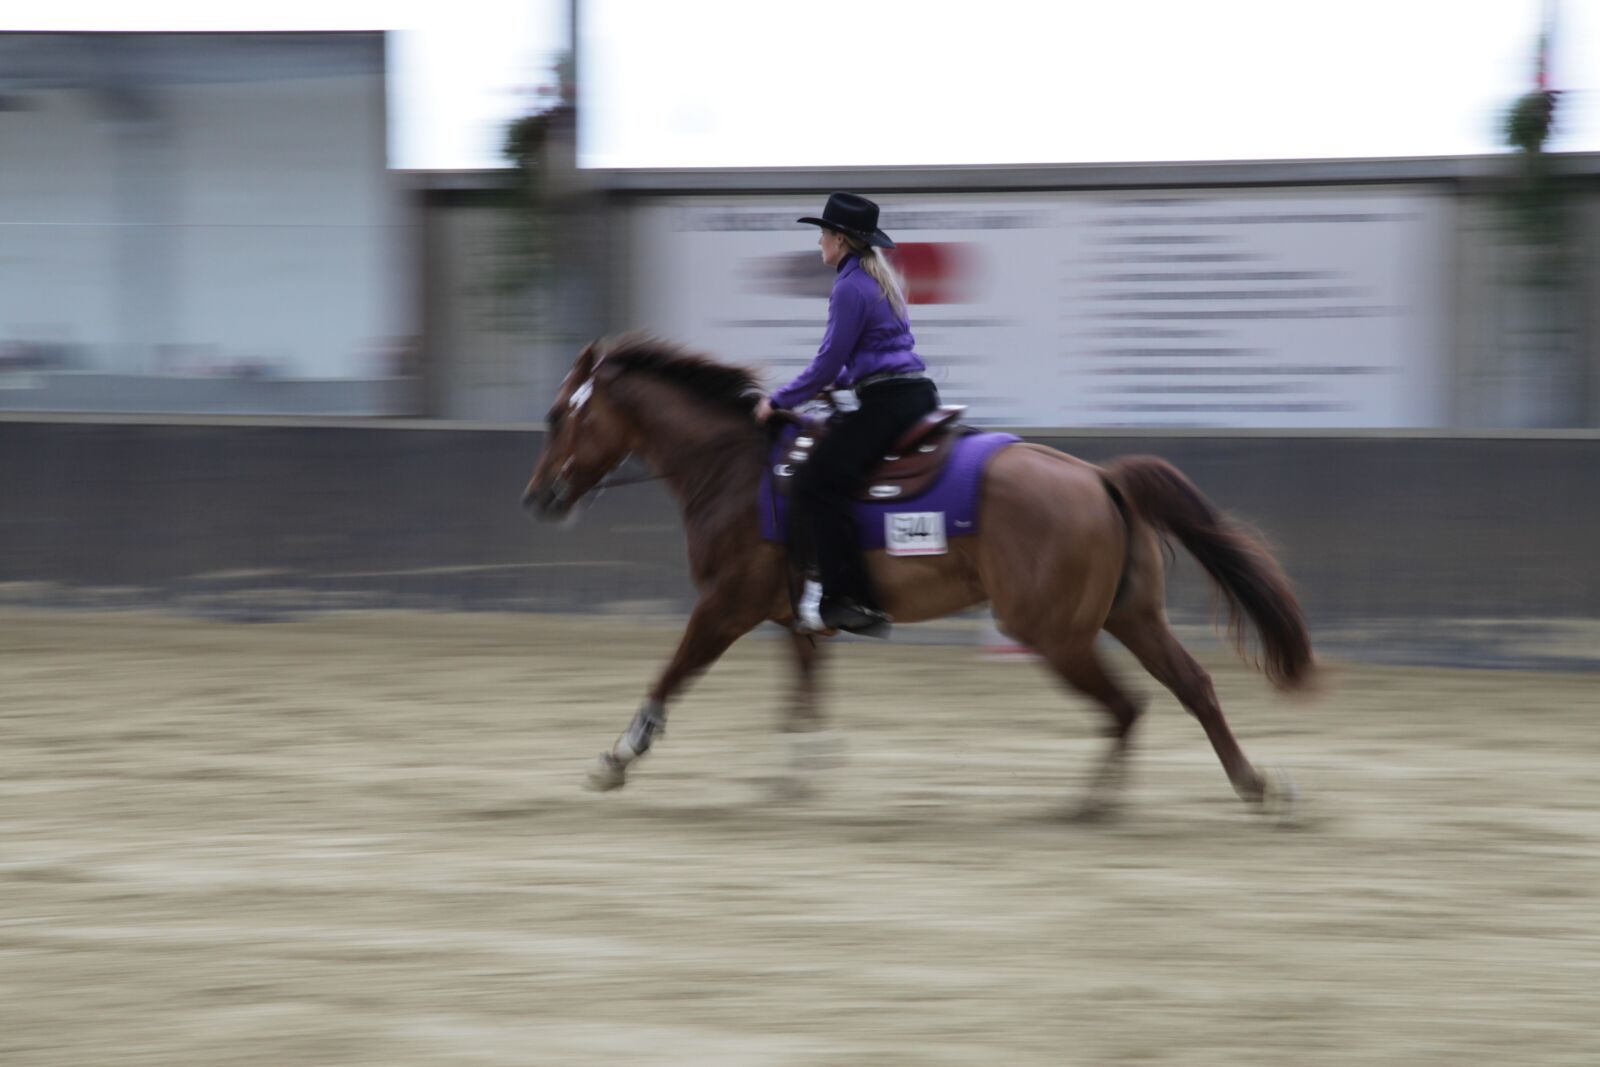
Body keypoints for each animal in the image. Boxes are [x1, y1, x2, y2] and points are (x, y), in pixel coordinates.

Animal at [522, 335, 1315, 815]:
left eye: (560, 414)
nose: (538, 497)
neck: (741, 472)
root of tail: (1100, 477)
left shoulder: (724, 607)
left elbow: (672, 674)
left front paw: (617, 757)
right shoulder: (795, 616)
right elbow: (804, 699)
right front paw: (798, 776)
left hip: (1055, 633)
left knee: (1126, 707)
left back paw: (1092, 805)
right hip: (1133, 617)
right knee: (1192, 688)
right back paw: (1253, 786)